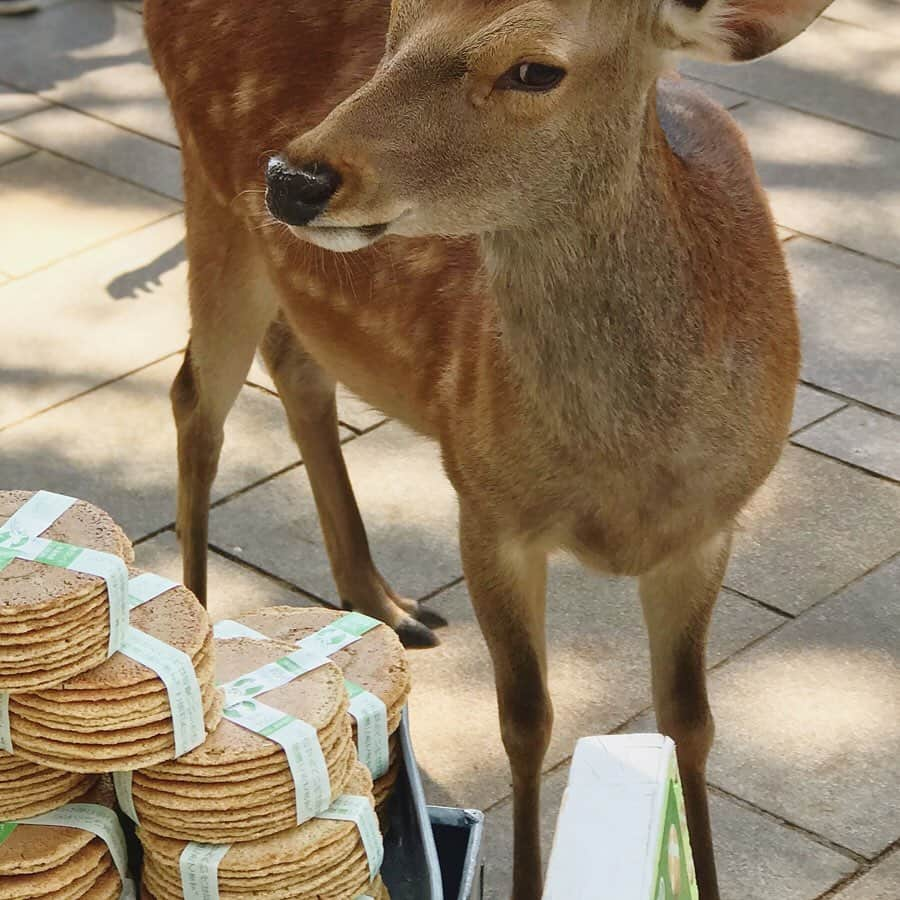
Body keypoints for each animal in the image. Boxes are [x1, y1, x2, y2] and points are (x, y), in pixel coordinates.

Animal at [146, 0, 828, 896]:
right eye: (396, 24)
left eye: (535, 69)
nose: (293, 179)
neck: (625, 472)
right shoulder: (484, 501)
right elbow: (526, 719)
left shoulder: (710, 528)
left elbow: (691, 720)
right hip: (212, 201)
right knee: (196, 397)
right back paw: (199, 631)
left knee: (294, 367)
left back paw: (385, 603)